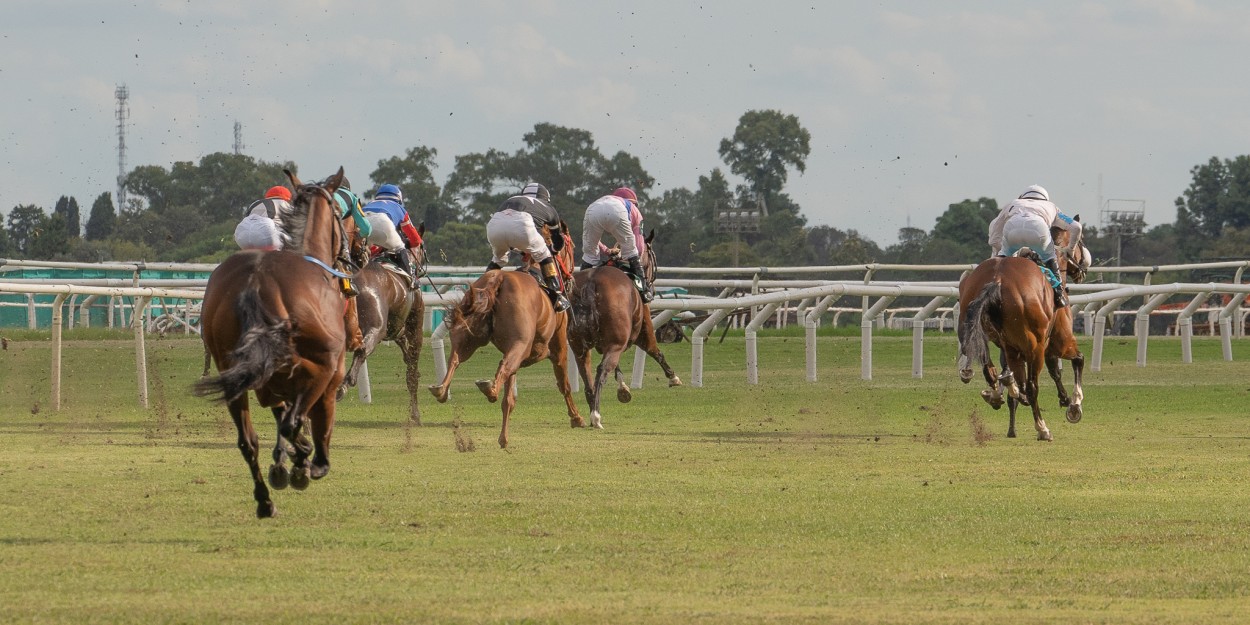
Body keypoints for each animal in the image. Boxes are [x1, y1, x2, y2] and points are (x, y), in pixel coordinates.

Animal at [195, 166, 360, 517]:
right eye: (342, 215)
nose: (351, 256)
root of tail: (257, 281)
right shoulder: (327, 372)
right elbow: (308, 421)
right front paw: (307, 461)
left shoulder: (268, 383)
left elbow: (284, 419)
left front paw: (289, 461)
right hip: (308, 364)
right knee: (291, 420)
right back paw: (300, 464)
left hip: (233, 372)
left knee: (248, 440)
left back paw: (265, 499)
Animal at [337, 222, 430, 422]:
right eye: (422, 246)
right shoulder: (414, 322)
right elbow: (412, 372)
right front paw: (415, 414)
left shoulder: (395, 328)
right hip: (375, 327)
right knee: (362, 349)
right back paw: (344, 385)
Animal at [427, 222, 582, 447]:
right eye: (573, 247)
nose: (571, 277)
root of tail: (498, 278)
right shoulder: (557, 342)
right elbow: (564, 383)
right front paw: (576, 417)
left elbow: (509, 397)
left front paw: (504, 436)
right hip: (520, 343)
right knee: (504, 367)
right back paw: (489, 388)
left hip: (470, 335)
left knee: (456, 358)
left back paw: (441, 389)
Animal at [570, 230, 680, 430]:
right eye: (653, 256)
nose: (651, 288)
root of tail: (591, 284)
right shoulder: (643, 331)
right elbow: (655, 351)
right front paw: (673, 377)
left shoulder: (608, 343)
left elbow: (617, 368)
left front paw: (623, 389)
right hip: (616, 342)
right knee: (601, 371)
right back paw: (596, 416)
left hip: (579, 346)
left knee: (587, 375)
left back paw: (591, 409)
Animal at [955, 222, 1085, 442]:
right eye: (1081, 242)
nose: (1082, 270)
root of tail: (997, 280)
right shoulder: (1060, 342)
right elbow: (1075, 361)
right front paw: (1073, 405)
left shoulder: (1023, 347)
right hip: (1034, 347)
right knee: (1031, 387)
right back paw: (1042, 428)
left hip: (991, 335)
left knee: (991, 370)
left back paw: (998, 392)